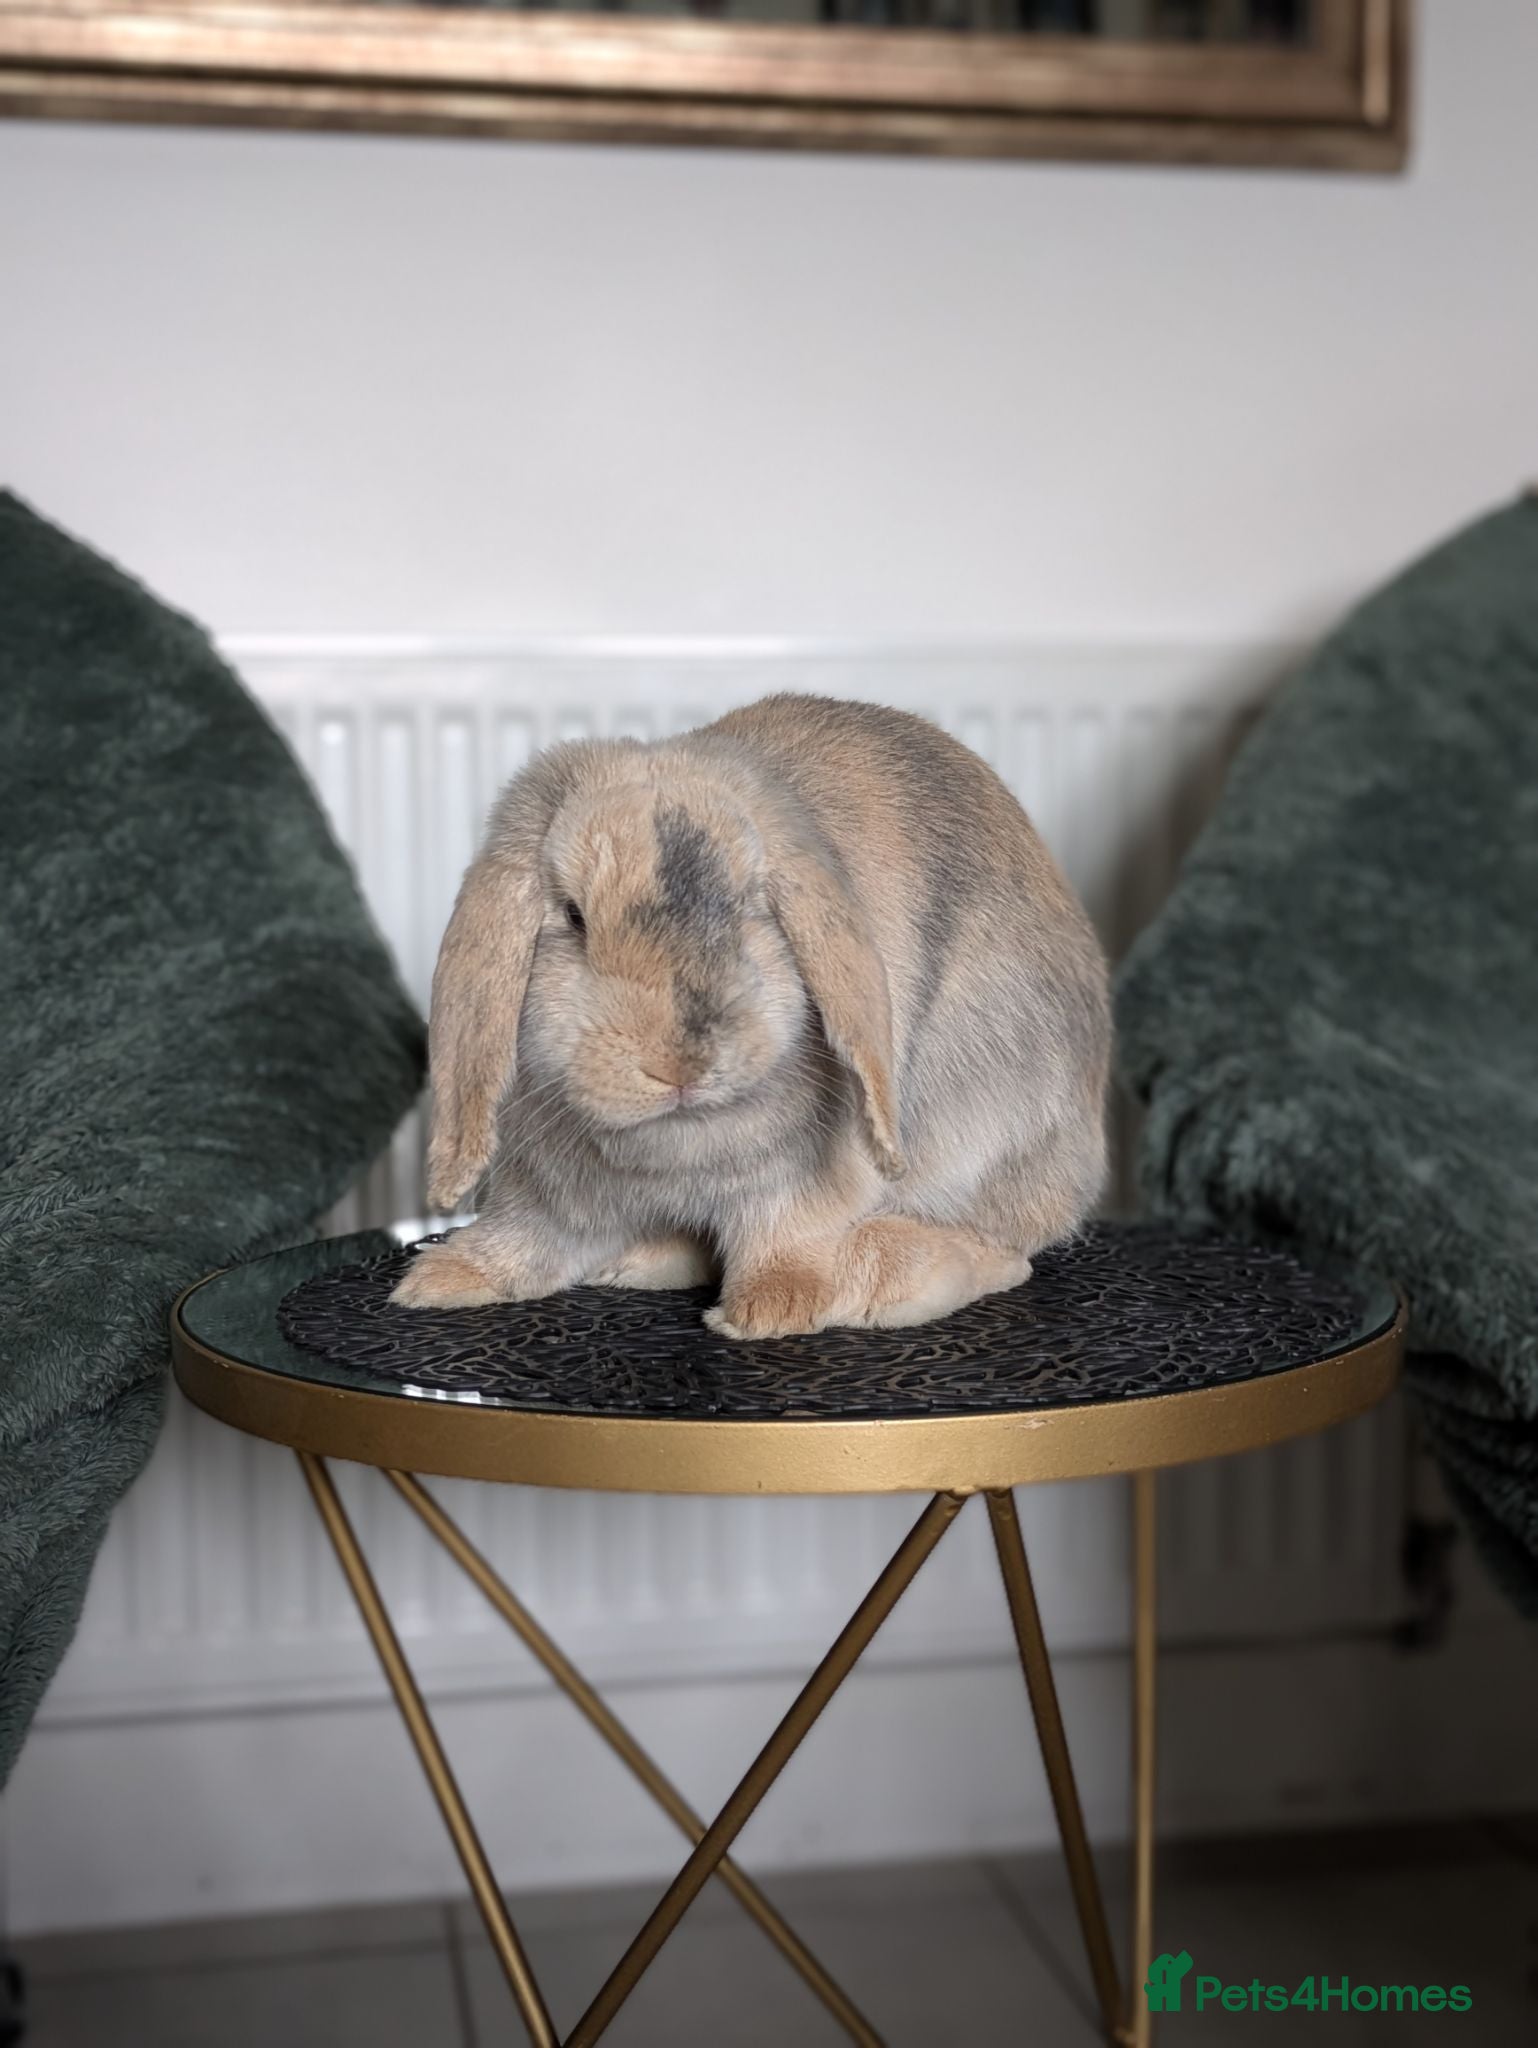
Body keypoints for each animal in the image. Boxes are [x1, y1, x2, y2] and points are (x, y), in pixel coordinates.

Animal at [392, 693, 1110, 1339]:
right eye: (573, 917)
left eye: (749, 908)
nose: (679, 1065)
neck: (674, 1146)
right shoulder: (549, 1195)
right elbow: (528, 1242)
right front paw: (442, 1281)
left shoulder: (801, 1189)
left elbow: (783, 1245)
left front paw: (765, 1313)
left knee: (1009, 1250)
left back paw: (887, 1279)